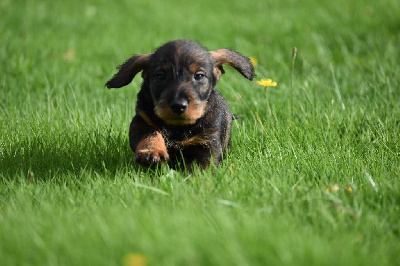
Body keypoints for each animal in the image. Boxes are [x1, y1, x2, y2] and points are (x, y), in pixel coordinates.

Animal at [106, 39, 253, 169]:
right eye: (160, 76)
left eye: (199, 76)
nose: (178, 105)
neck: (178, 128)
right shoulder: (141, 121)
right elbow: (150, 135)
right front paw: (152, 152)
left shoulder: (207, 142)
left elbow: (200, 167)